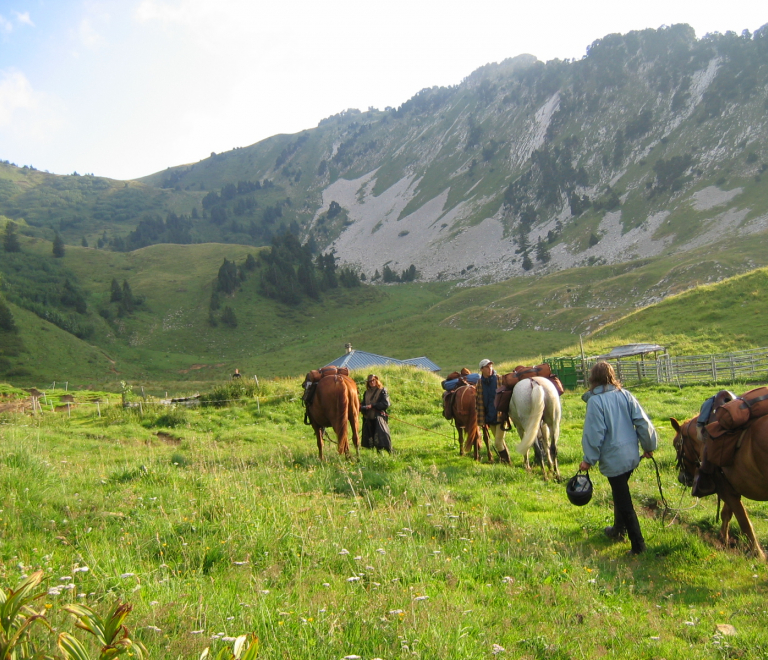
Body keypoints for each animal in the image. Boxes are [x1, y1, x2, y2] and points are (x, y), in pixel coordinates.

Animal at [668, 416, 768, 560]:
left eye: (676, 445)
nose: (682, 478)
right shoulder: (730, 487)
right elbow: (727, 514)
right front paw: (723, 539)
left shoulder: (725, 489)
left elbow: (744, 522)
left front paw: (757, 554)